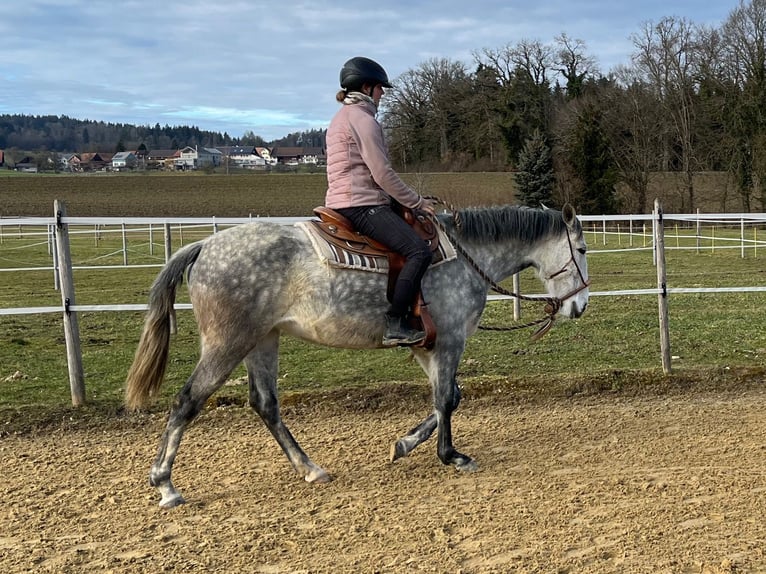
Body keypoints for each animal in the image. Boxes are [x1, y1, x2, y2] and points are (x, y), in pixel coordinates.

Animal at [127, 202, 592, 508]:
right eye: (583, 251)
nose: (580, 306)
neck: (465, 258)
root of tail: (204, 246)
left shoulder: (427, 346)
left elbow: (448, 399)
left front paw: (404, 444)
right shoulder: (449, 341)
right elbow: (446, 400)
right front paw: (451, 456)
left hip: (262, 341)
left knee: (265, 404)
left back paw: (310, 468)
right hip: (228, 344)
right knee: (187, 402)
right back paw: (165, 485)